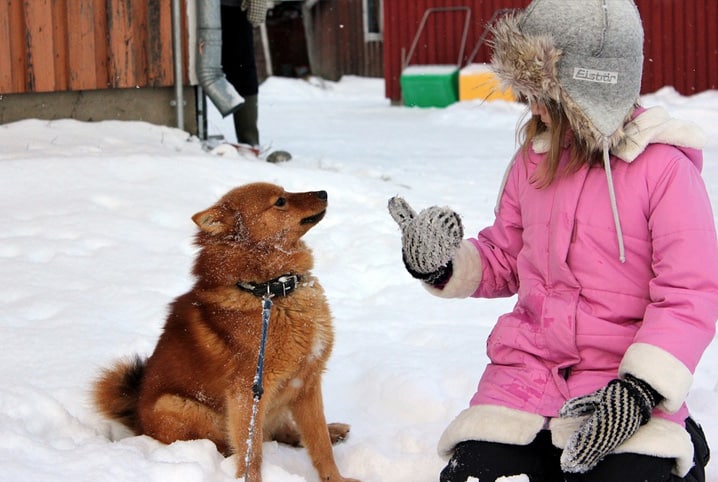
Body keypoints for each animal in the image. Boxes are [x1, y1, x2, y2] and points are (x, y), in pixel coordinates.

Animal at [95, 183, 360, 480]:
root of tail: (137, 418)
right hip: (177, 405)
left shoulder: (306, 383)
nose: (324, 192)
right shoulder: (248, 394)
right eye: (280, 201)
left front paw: (336, 477)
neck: (270, 290)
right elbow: (251, 454)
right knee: (236, 443)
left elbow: (319, 444)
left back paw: (334, 430)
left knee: (283, 432)